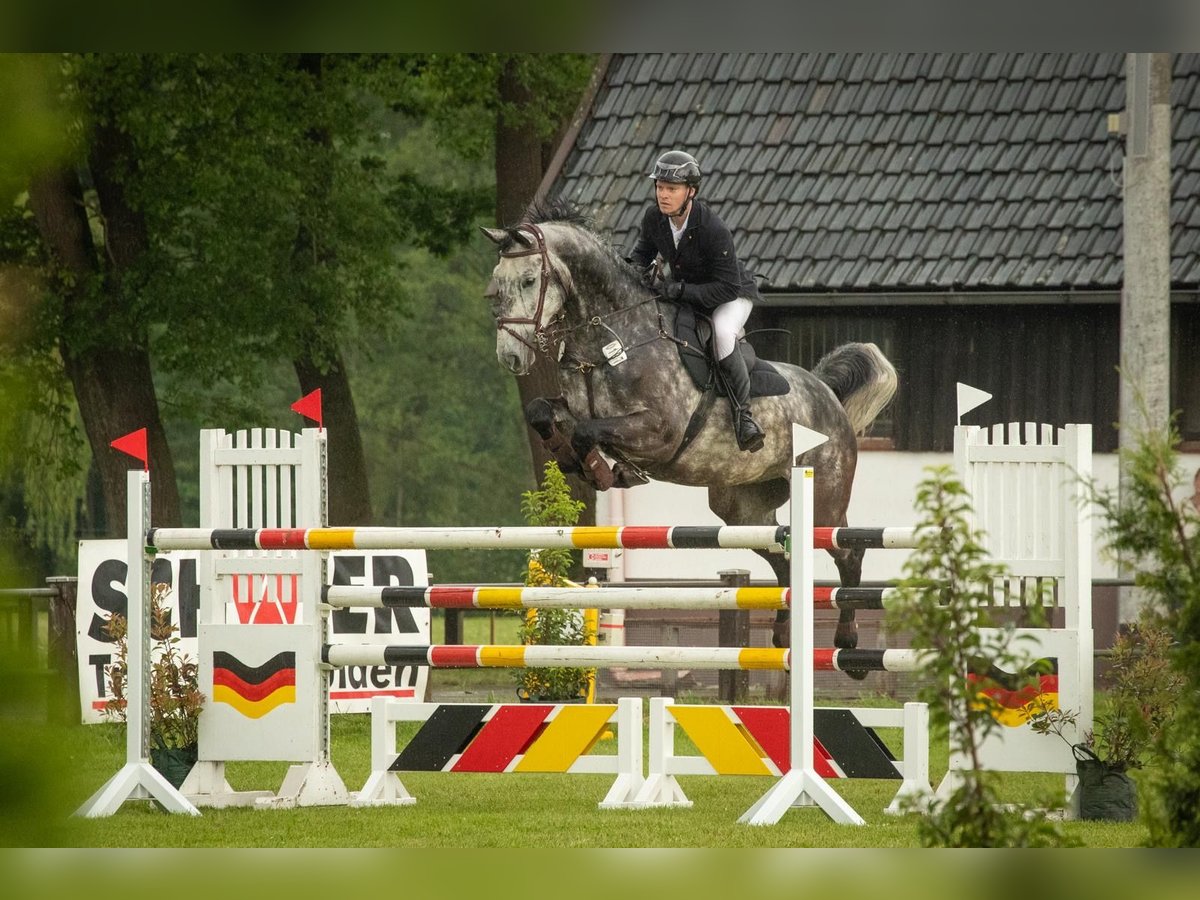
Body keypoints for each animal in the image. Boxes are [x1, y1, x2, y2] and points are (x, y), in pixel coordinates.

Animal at [482, 202, 897, 672]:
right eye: (496, 287)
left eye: (530, 280)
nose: (511, 357)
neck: (607, 340)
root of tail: (828, 394)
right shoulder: (576, 409)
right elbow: (543, 413)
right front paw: (572, 458)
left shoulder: (660, 431)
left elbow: (591, 433)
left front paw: (602, 470)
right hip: (742, 510)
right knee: (783, 559)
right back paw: (781, 636)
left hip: (823, 498)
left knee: (848, 552)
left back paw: (849, 644)